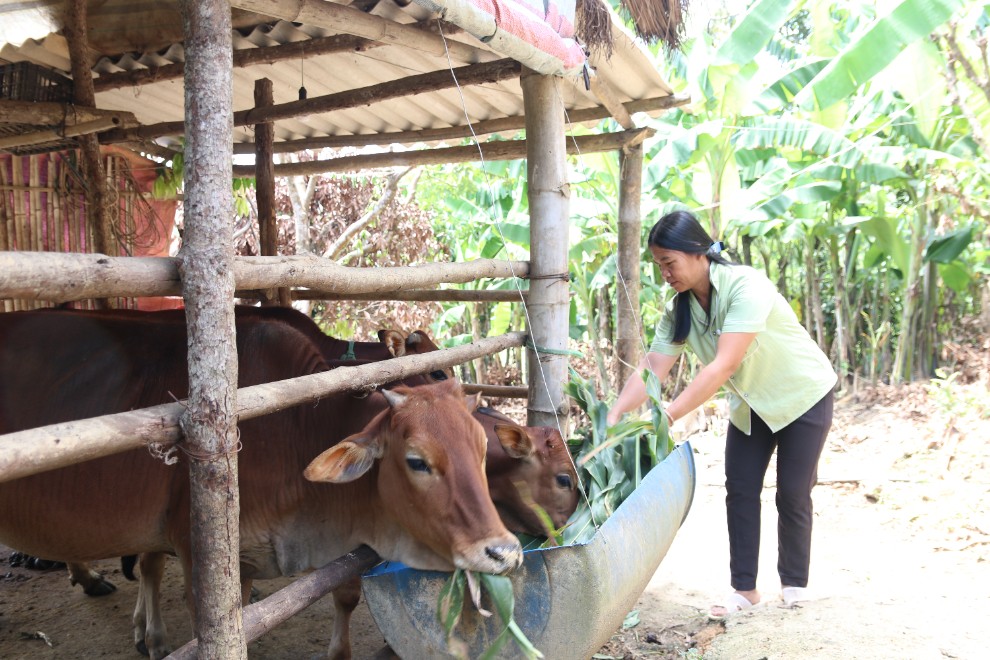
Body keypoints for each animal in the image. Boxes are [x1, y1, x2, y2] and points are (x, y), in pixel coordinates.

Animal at [0, 310, 528, 660]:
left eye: (481, 450)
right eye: (417, 461)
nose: (504, 551)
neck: (297, 426)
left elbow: (343, 594)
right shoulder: (198, 551)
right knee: (145, 566)